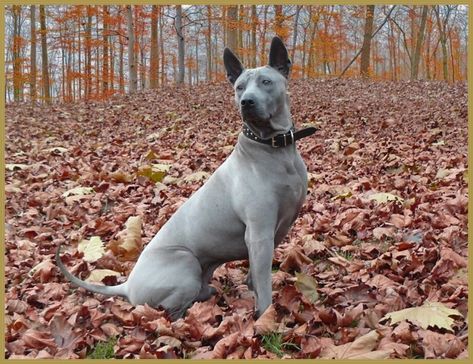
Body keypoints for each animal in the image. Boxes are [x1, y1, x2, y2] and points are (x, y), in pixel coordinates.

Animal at [58, 36, 318, 318]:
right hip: (186, 261)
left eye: (266, 82)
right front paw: (266, 317)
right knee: (170, 310)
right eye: (239, 87)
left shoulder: (273, 231)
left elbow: (254, 277)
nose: (246, 101)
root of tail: (126, 285)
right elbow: (263, 285)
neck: (274, 148)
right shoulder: (259, 234)